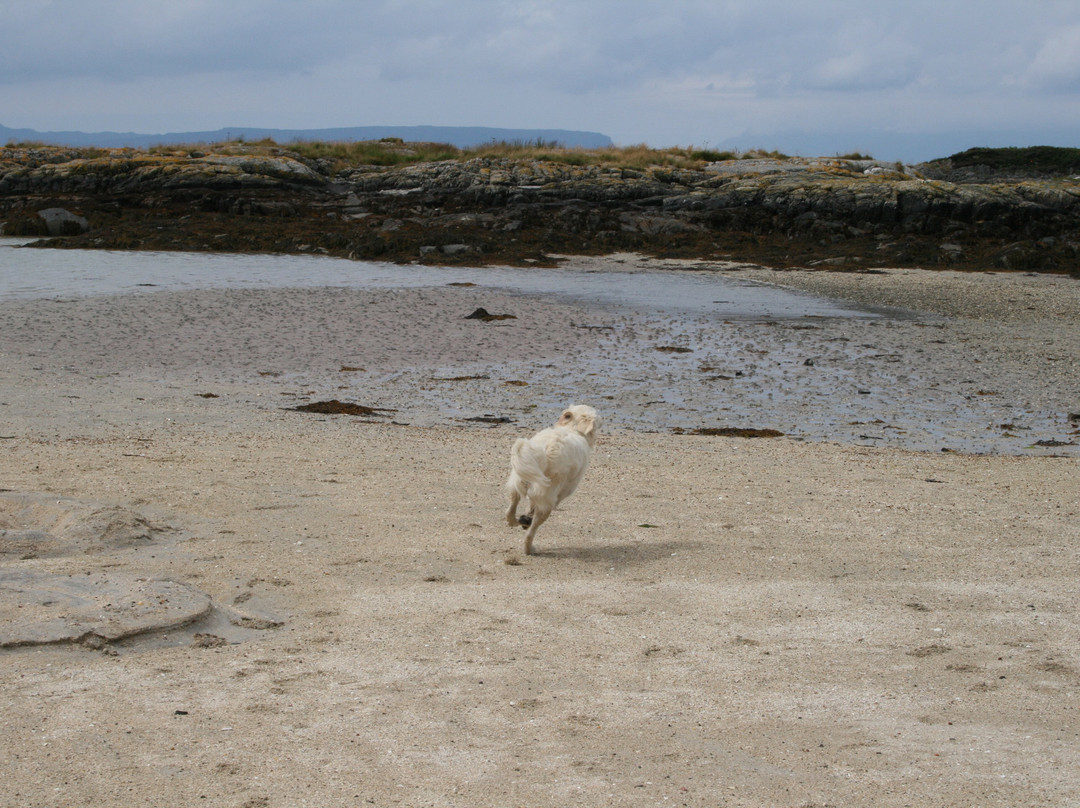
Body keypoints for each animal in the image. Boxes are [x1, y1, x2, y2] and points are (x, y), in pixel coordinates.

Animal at [505, 404, 600, 557]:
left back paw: (517, 521)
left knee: (511, 509)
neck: (573, 429)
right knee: (531, 532)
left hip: (519, 480)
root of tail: (545, 451)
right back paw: (529, 548)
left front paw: (526, 518)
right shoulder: (564, 491)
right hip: (548, 498)